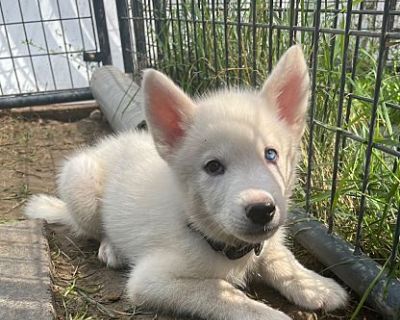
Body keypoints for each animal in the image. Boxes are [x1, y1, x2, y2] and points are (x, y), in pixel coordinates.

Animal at [26, 45, 348, 320]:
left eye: (271, 154)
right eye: (213, 167)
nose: (262, 210)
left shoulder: (267, 242)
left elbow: (282, 257)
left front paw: (315, 285)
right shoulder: (152, 279)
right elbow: (222, 292)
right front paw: (270, 313)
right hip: (81, 185)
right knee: (95, 229)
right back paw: (111, 248)